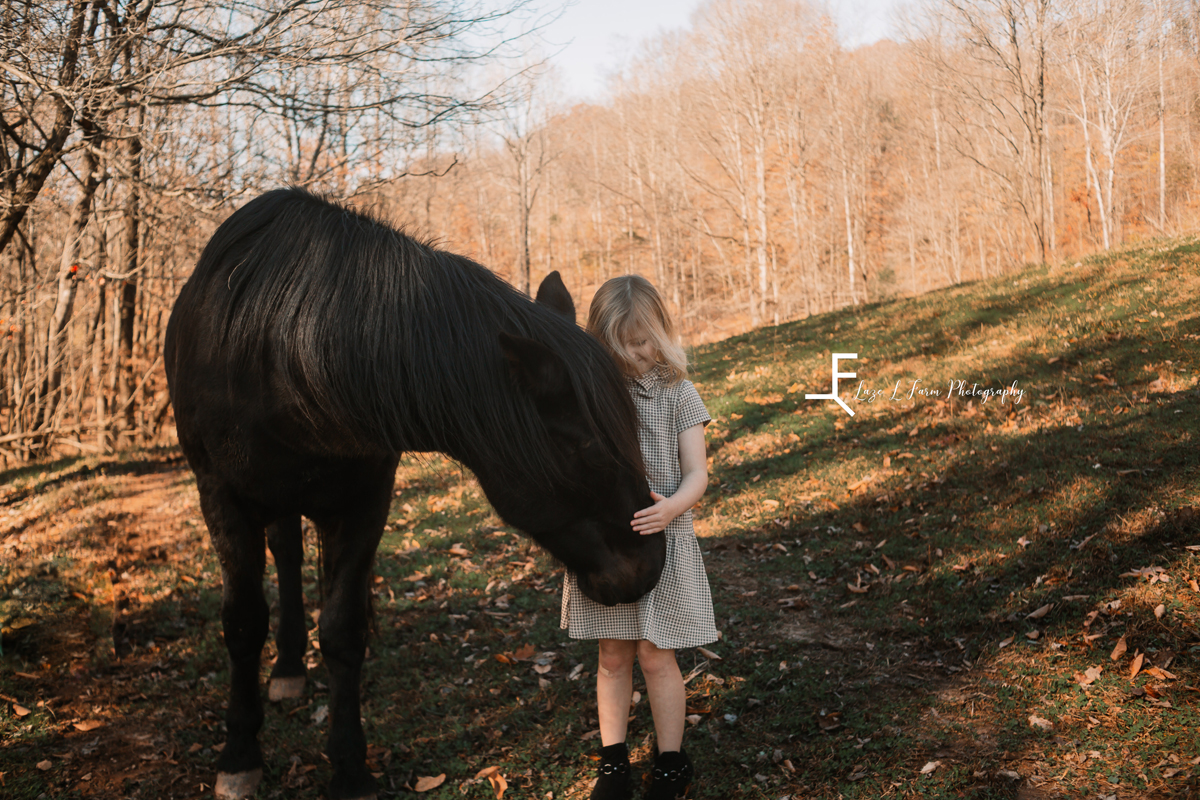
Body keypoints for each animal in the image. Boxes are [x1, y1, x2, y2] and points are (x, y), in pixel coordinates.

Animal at [163, 189, 662, 800]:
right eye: (589, 452)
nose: (650, 567)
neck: (279, 353)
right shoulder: (221, 497)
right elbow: (241, 623)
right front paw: (238, 755)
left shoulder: (366, 502)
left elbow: (342, 629)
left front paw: (350, 768)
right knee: (284, 559)